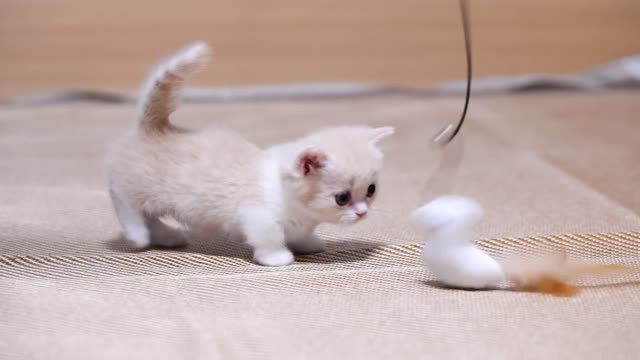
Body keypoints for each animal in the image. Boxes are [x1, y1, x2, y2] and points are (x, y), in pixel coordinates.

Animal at [105, 43, 396, 268]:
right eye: (342, 198)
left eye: (371, 190)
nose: (362, 213)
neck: (286, 194)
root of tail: (154, 126)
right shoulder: (257, 217)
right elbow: (270, 238)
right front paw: (277, 258)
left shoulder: (300, 221)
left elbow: (300, 235)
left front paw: (307, 243)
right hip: (134, 186)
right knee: (124, 202)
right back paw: (138, 235)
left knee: (150, 215)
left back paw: (166, 236)